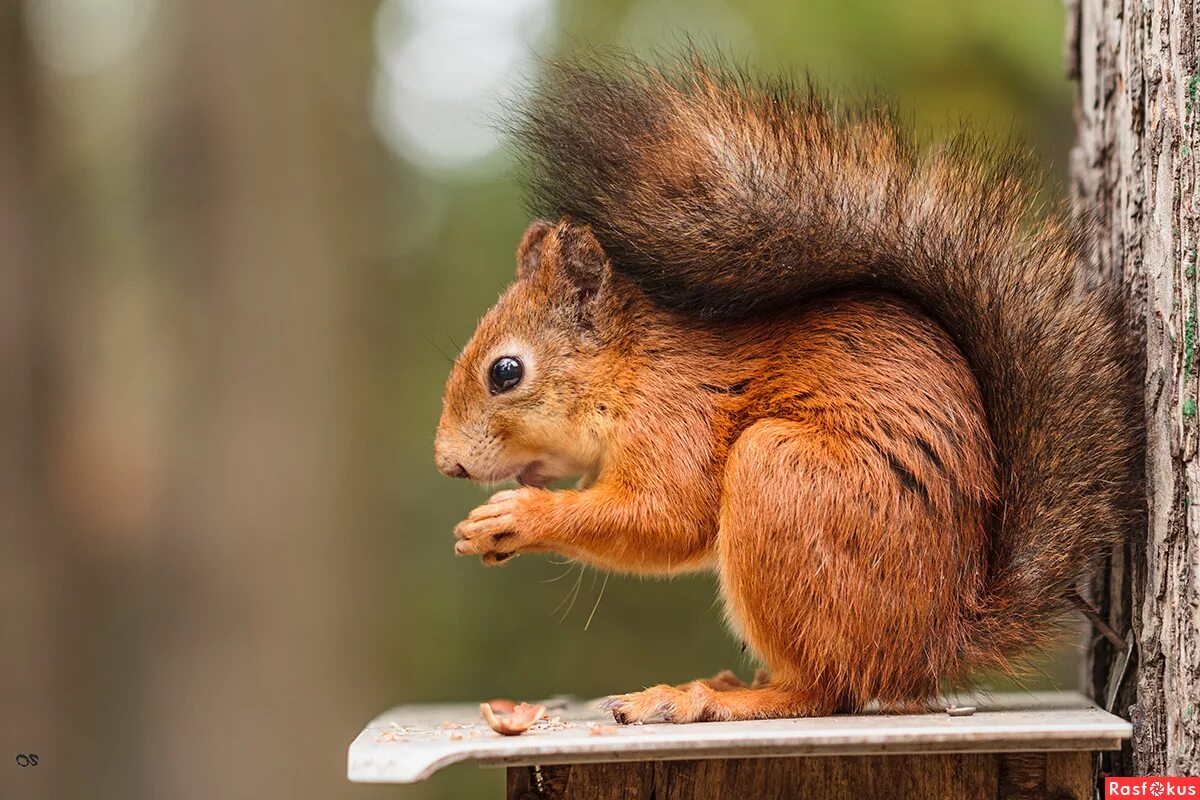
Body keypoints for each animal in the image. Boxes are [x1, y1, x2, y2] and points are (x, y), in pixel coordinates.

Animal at [434, 53, 1142, 724]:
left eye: (505, 372)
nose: (447, 463)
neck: (631, 369)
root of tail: (937, 640)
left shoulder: (675, 415)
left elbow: (669, 517)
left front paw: (519, 517)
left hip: (782, 479)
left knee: (828, 689)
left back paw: (707, 699)